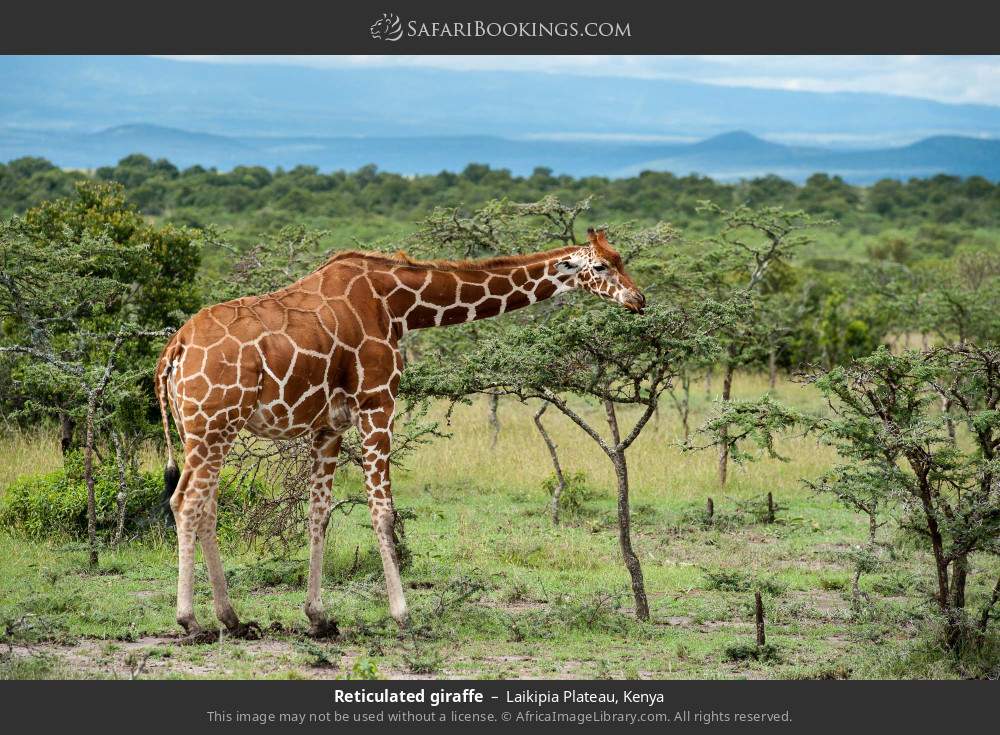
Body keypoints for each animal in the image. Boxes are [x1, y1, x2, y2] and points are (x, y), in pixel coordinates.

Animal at [155, 227, 645, 639]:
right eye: (602, 267)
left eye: (621, 259)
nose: (639, 299)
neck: (399, 306)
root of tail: (173, 352)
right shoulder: (378, 403)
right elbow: (383, 511)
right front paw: (403, 614)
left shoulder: (329, 425)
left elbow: (319, 513)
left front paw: (318, 617)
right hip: (214, 423)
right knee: (186, 501)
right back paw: (190, 620)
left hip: (203, 429)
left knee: (206, 507)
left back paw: (232, 619)